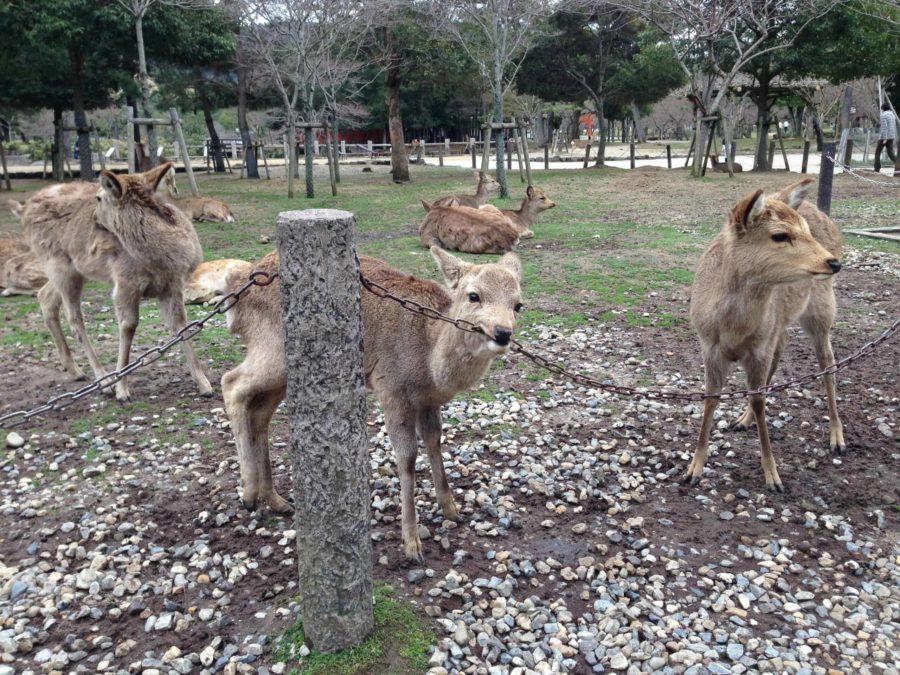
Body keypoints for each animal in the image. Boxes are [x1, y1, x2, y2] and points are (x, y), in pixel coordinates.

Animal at [20, 163, 213, 401]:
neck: (164, 262)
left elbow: (181, 326)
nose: (93, 218)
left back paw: (75, 371)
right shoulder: (125, 282)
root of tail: (25, 210)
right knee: (74, 318)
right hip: (57, 264)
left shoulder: (172, 287)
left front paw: (204, 384)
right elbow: (129, 327)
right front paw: (122, 389)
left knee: (45, 297)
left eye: (98, 198)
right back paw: (104, 380)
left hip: (72, 270)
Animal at [222, 246, 523, 561]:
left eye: (518, 305)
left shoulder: (428, 402)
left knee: (259, 412)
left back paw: (275, 499)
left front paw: (452, 509)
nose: (503, 333)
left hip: (284, 370)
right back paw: (249, 495)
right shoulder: (391, 389)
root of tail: (236, 293)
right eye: (474, 295)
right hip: (271, 348)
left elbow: (434, 441)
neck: (430, 364)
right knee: (231, 383)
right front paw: (412, 543)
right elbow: (407, 457)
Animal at [685, 178, 844, 492]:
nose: (832, 263)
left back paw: (837, 437)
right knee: (783, 346)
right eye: (780, 235)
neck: (733, 328)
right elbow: (711, 398)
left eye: (805, 230)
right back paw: (742, 419)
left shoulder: (759, 346)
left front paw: (773, 476)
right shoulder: (709, 345)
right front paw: (693, 468)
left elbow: (759, 400)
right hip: (781, 325)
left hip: (821, 310)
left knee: (827, 361)